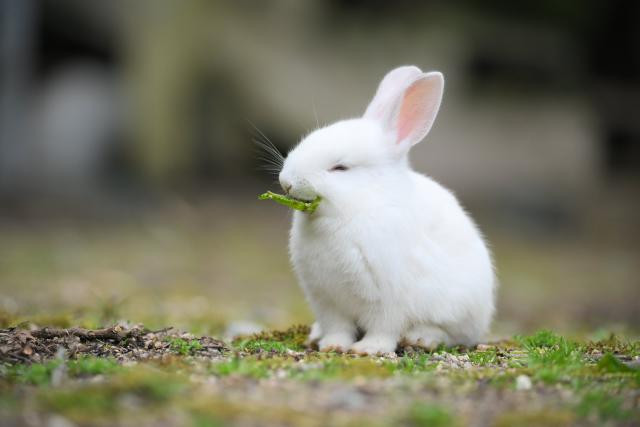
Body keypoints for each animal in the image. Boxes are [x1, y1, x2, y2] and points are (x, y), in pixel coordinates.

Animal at [280, 66, 496, 354]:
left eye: (340, 168)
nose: (286, 181)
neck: (360, 207)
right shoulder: (326, 300)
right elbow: (338, 327)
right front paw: (333, 346)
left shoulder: (388, 300)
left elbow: (383, 329)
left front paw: (366, 349)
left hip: (459, 309)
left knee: (449, 333)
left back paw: (421, 338)